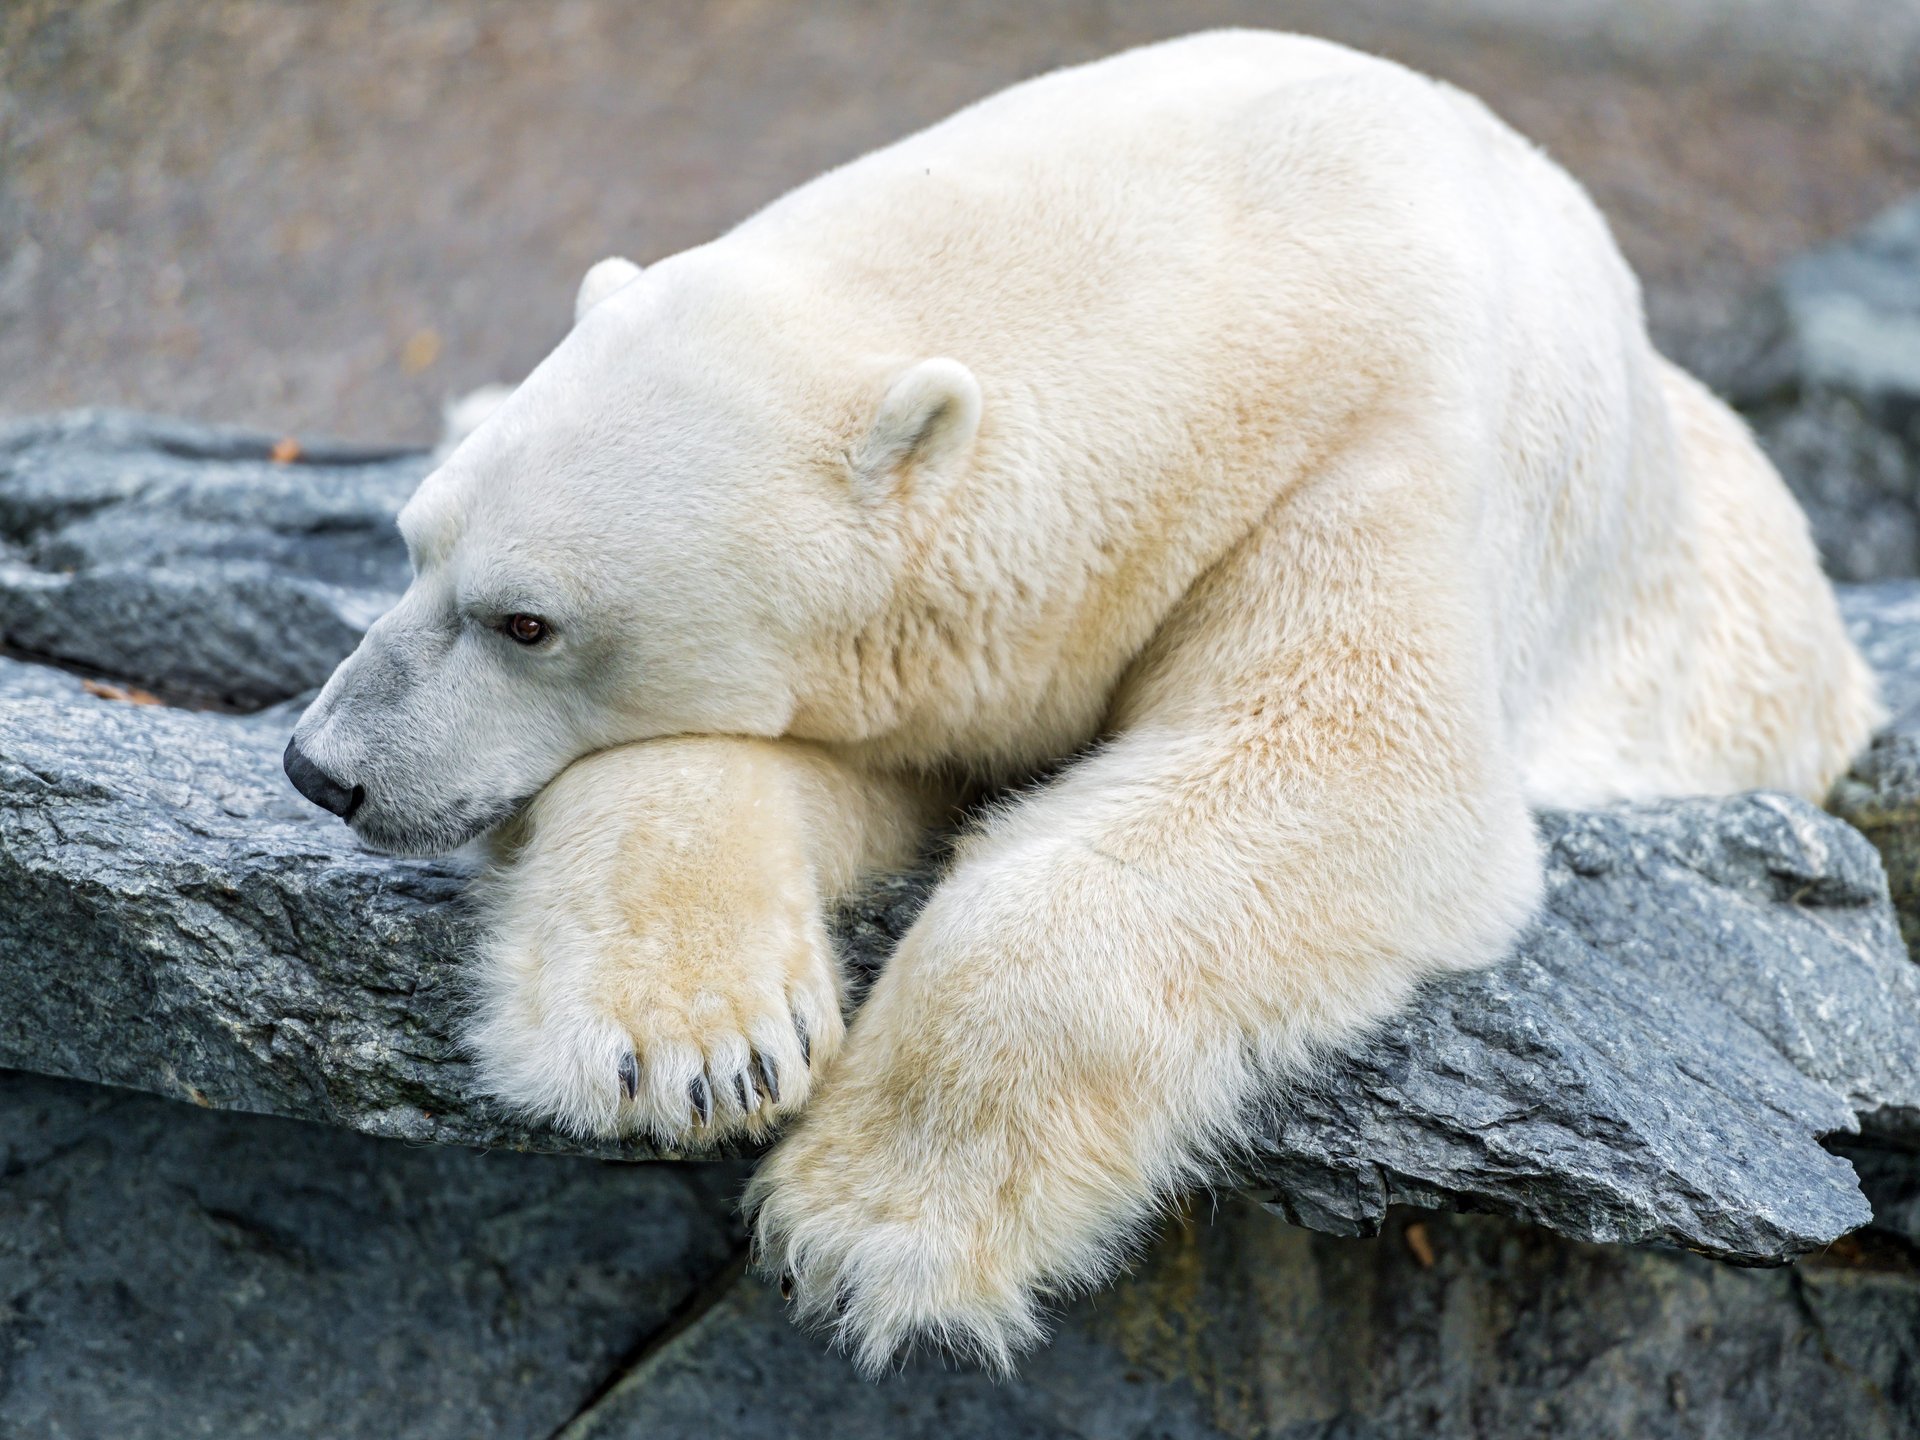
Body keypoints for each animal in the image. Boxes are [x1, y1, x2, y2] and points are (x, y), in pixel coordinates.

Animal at [284, 33, 1873, 1382]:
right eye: (415, 550)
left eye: (528, 622)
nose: (323, 768)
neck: (1225, 245)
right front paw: (693, 1047)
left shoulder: (1377, 448)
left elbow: (1351, 768)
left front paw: (864, 1234)